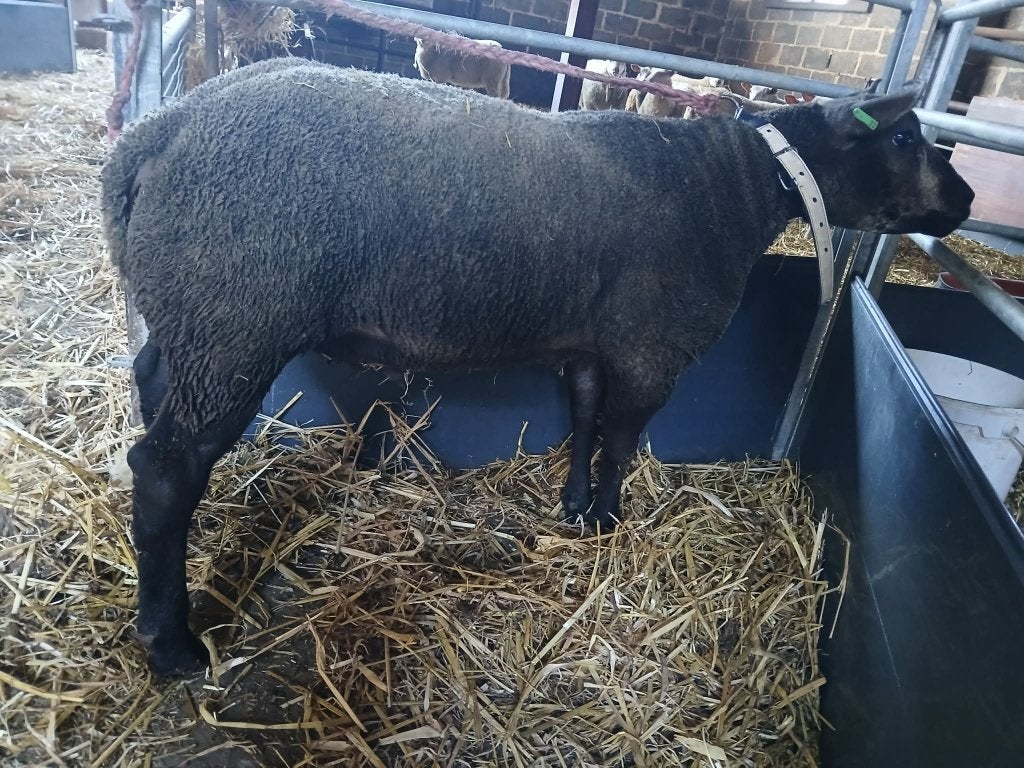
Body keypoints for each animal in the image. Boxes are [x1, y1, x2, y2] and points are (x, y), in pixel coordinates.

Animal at [101, 58, 974, 675]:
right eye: (904, 139)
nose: (965, 200)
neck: (739, 186)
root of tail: (153, 136)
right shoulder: (651, 350)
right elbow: (621, 440)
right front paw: (611, 521)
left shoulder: (589, 345)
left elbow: (584, 419)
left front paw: (575, 508)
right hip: (235, 322)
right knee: (166, 471)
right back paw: (171, 645)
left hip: (190, 322)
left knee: (150, 388)